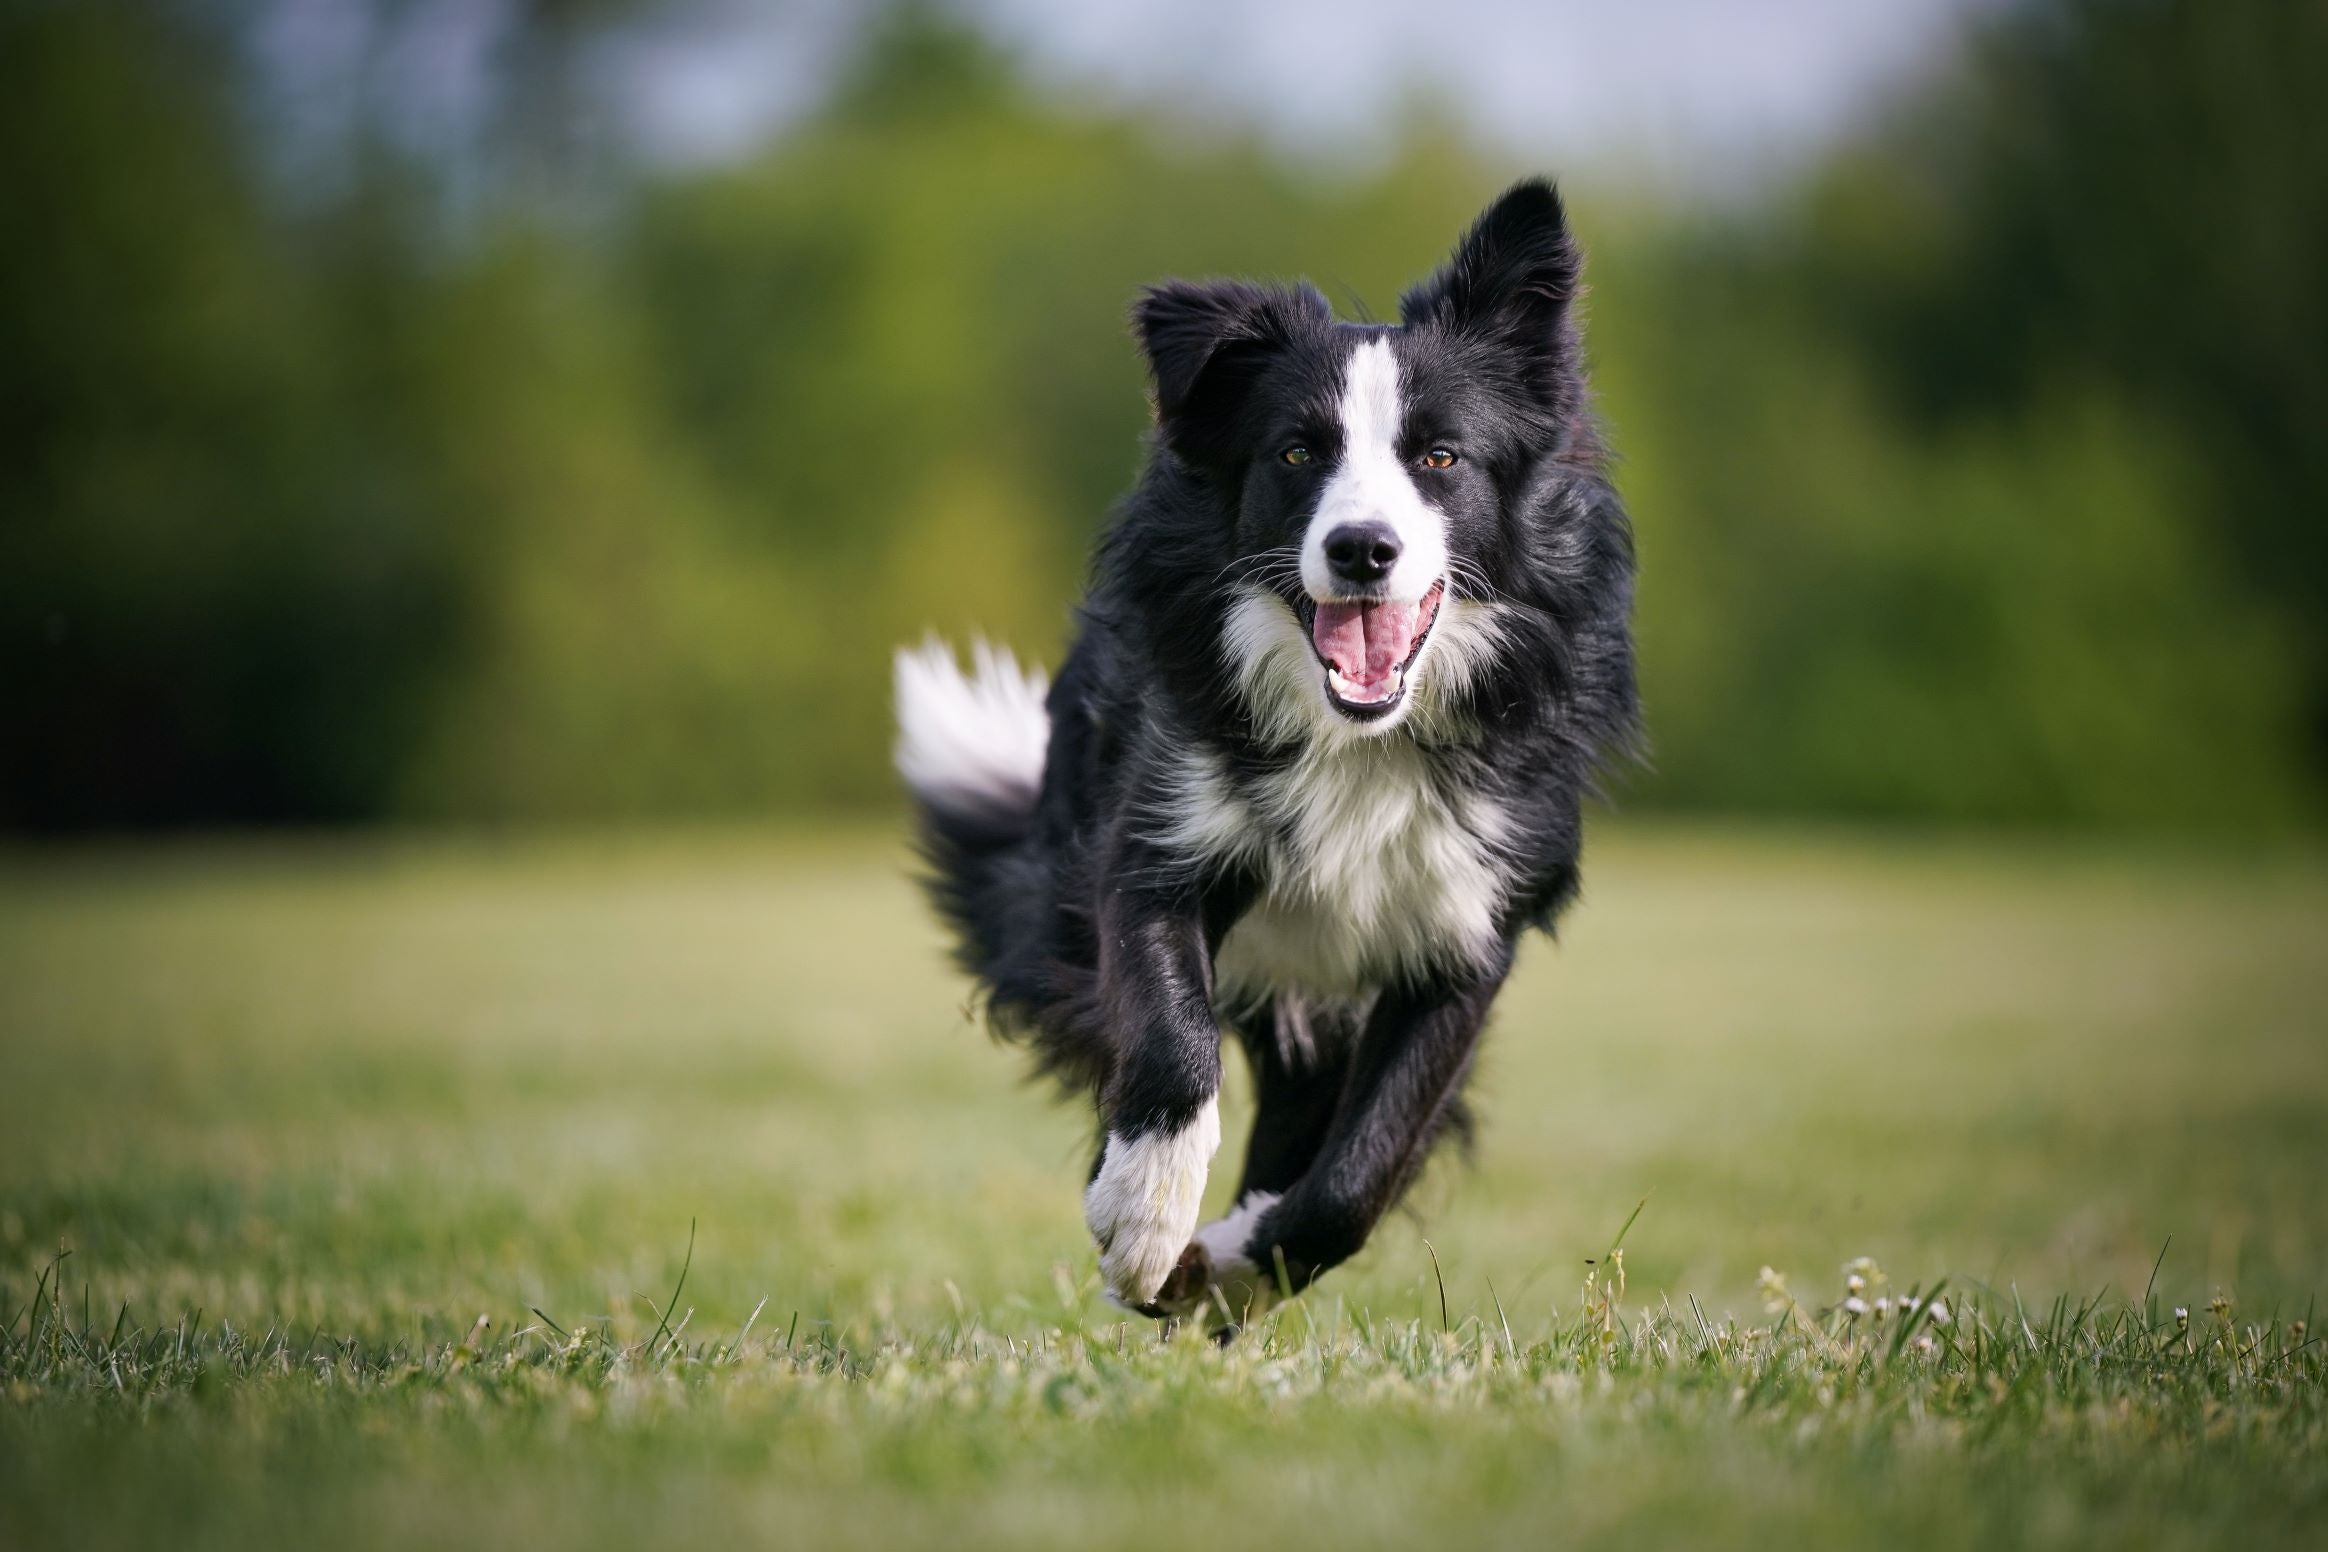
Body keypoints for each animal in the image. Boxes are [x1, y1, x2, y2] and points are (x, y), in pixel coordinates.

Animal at [889, 182, 1638, 1321]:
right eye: (1296, 452)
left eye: (1440, 457)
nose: (1362, 549)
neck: (1358, 743)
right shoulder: (1155, 840)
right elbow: (1170, 1041)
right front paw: (1145, 1220)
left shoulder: (1470, 928)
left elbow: (1361, 1167)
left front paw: (1237, 1262)